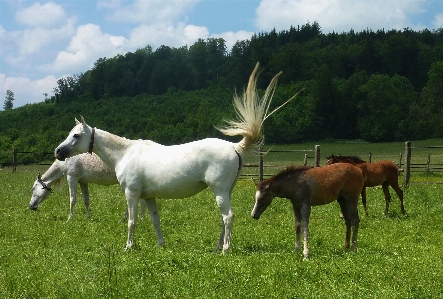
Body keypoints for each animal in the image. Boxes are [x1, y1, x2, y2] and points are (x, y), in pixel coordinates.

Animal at [53, 63, 300, 253]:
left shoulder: (132, 194)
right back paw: (217, 247)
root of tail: (234, 147)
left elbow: (132, 221)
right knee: (224, 219)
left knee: (228, 216)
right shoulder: (148, 197)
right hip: (226, 191)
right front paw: (161, 245)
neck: (125, 153)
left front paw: (129, 246)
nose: (58, 152)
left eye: (76, 135)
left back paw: (226, 249)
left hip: (219, 191)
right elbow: (155, 220)